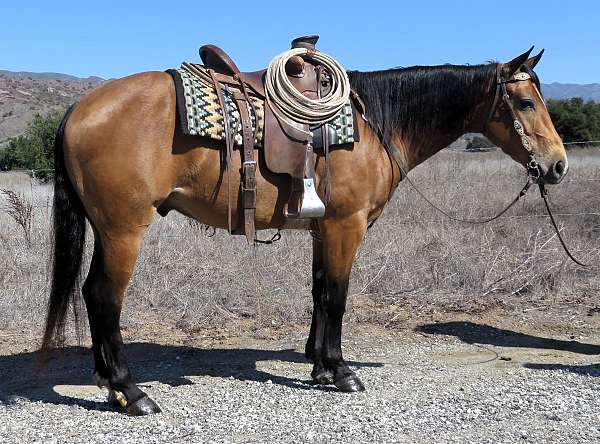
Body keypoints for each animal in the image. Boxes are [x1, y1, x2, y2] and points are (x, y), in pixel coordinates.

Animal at [41, 46, 568, 414]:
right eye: (524, 103)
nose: (558, 165)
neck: (373, 124)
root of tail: (80, 109)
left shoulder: (322, 228)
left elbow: (318, 291)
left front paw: (317, 364)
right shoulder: (345, 225)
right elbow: (337, 295)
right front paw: (341, 371)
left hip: (106, 229)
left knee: (90, 293)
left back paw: (107, 383)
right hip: (124, 230)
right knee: (105, 296)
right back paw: (131, 392)